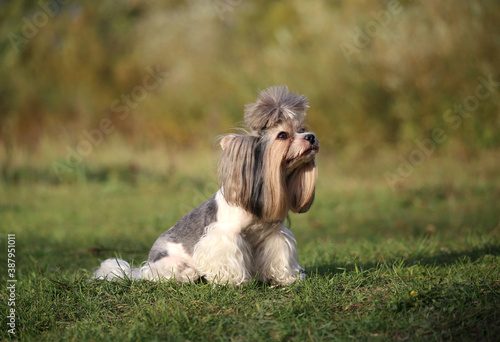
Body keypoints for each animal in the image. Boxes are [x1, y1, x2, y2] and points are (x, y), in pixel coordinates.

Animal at [93, 86, 320, 286]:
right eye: (282, 135)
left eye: (302, 130)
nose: (311, 136)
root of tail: (143, 268)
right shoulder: (224, 236)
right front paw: (230, 281)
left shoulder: (275, 235)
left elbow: (280, 257)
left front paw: (286, 278)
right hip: (170, 263)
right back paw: (189, 275)